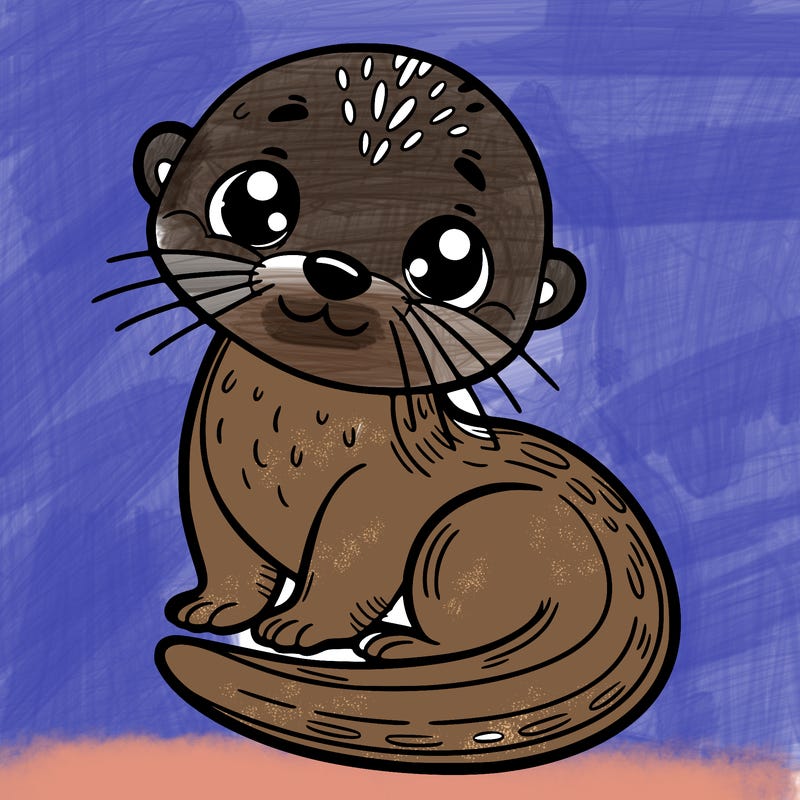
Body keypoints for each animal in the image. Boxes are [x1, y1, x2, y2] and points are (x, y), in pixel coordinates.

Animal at [111, 45, 679, 773]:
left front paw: (302, 627)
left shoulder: (380, 495)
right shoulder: (205, 474)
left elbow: (351, 563)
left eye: (450, 261)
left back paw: (401, 646)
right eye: (253, 201)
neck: (284, 440)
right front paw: (213, 608)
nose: (336, 269)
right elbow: (225, 551)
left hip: (470, 533)